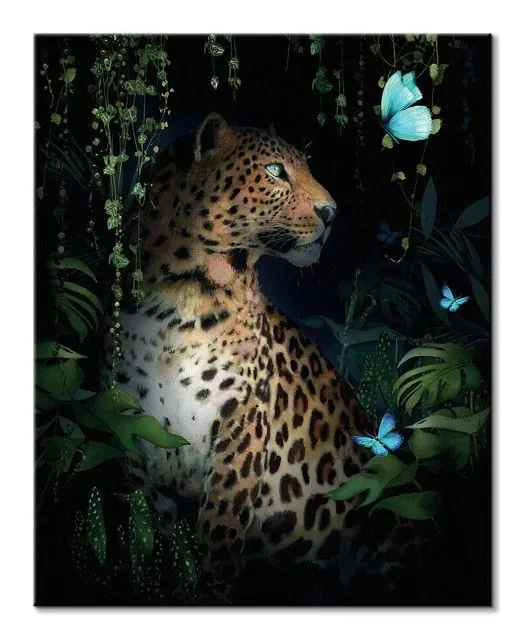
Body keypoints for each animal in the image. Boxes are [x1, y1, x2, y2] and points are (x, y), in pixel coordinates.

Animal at [111, 113, 419, 601]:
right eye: (275, 171)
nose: (332, 213)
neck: (182, 295)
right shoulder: (130, 437)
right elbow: (148, 534)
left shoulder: (241, 427)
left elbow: (218, 531)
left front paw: (213, 592)